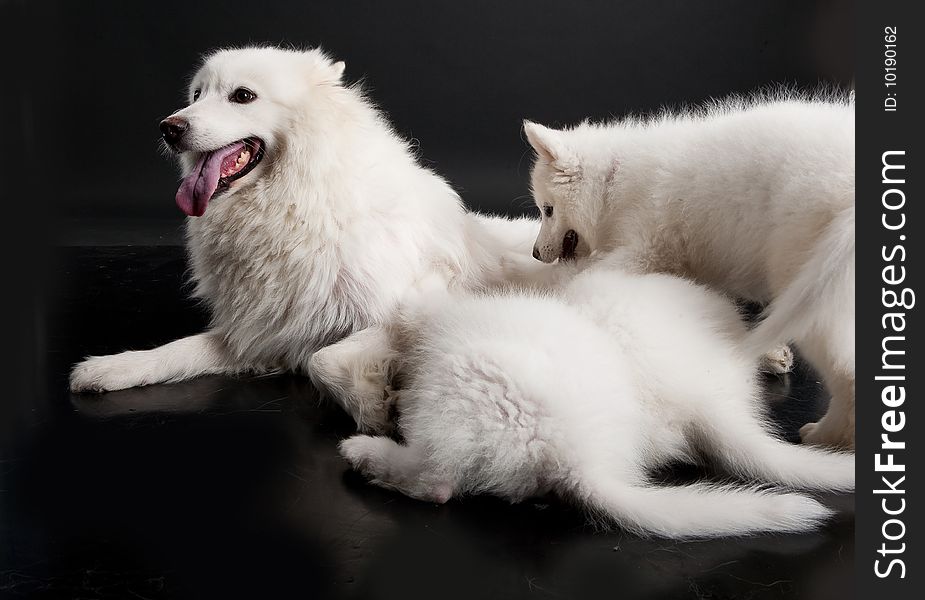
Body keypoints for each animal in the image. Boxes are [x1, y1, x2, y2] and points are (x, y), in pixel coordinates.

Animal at [70, 47, 536, 394]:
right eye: (197, 94)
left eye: (242, 96)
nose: (169, 127)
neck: (293, 203)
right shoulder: (261, 330)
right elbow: (180, 349)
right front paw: (111, 368)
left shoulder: (399, 311)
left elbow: (322, 360)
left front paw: (374, 405)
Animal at [524, 94, 856, 448]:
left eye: (547, 210)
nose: (535, 253)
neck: (612, 184)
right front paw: (768, 353)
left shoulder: (644, 250)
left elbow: (581, 279)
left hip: (810, 288)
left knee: (845, 375)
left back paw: (825, 434)